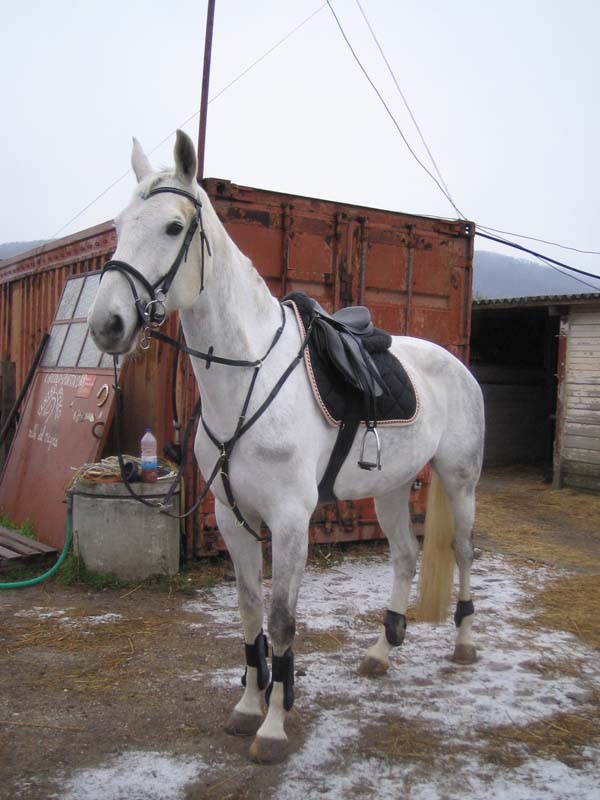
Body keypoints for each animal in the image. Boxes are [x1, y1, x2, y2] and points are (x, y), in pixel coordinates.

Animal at [88, 129, 485, 765]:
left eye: (174, 228)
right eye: (121, 224)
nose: (108, 324)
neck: (249, 373)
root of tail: (455, 365)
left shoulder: (292, 520)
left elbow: (281, 621)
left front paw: (274, 728)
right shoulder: (233, 518)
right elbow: (250, 613)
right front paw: (251, 705)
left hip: (459, 479)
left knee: (466, 553)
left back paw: (466, 642)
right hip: (392, 488)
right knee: (404, 556)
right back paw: (381, 650)